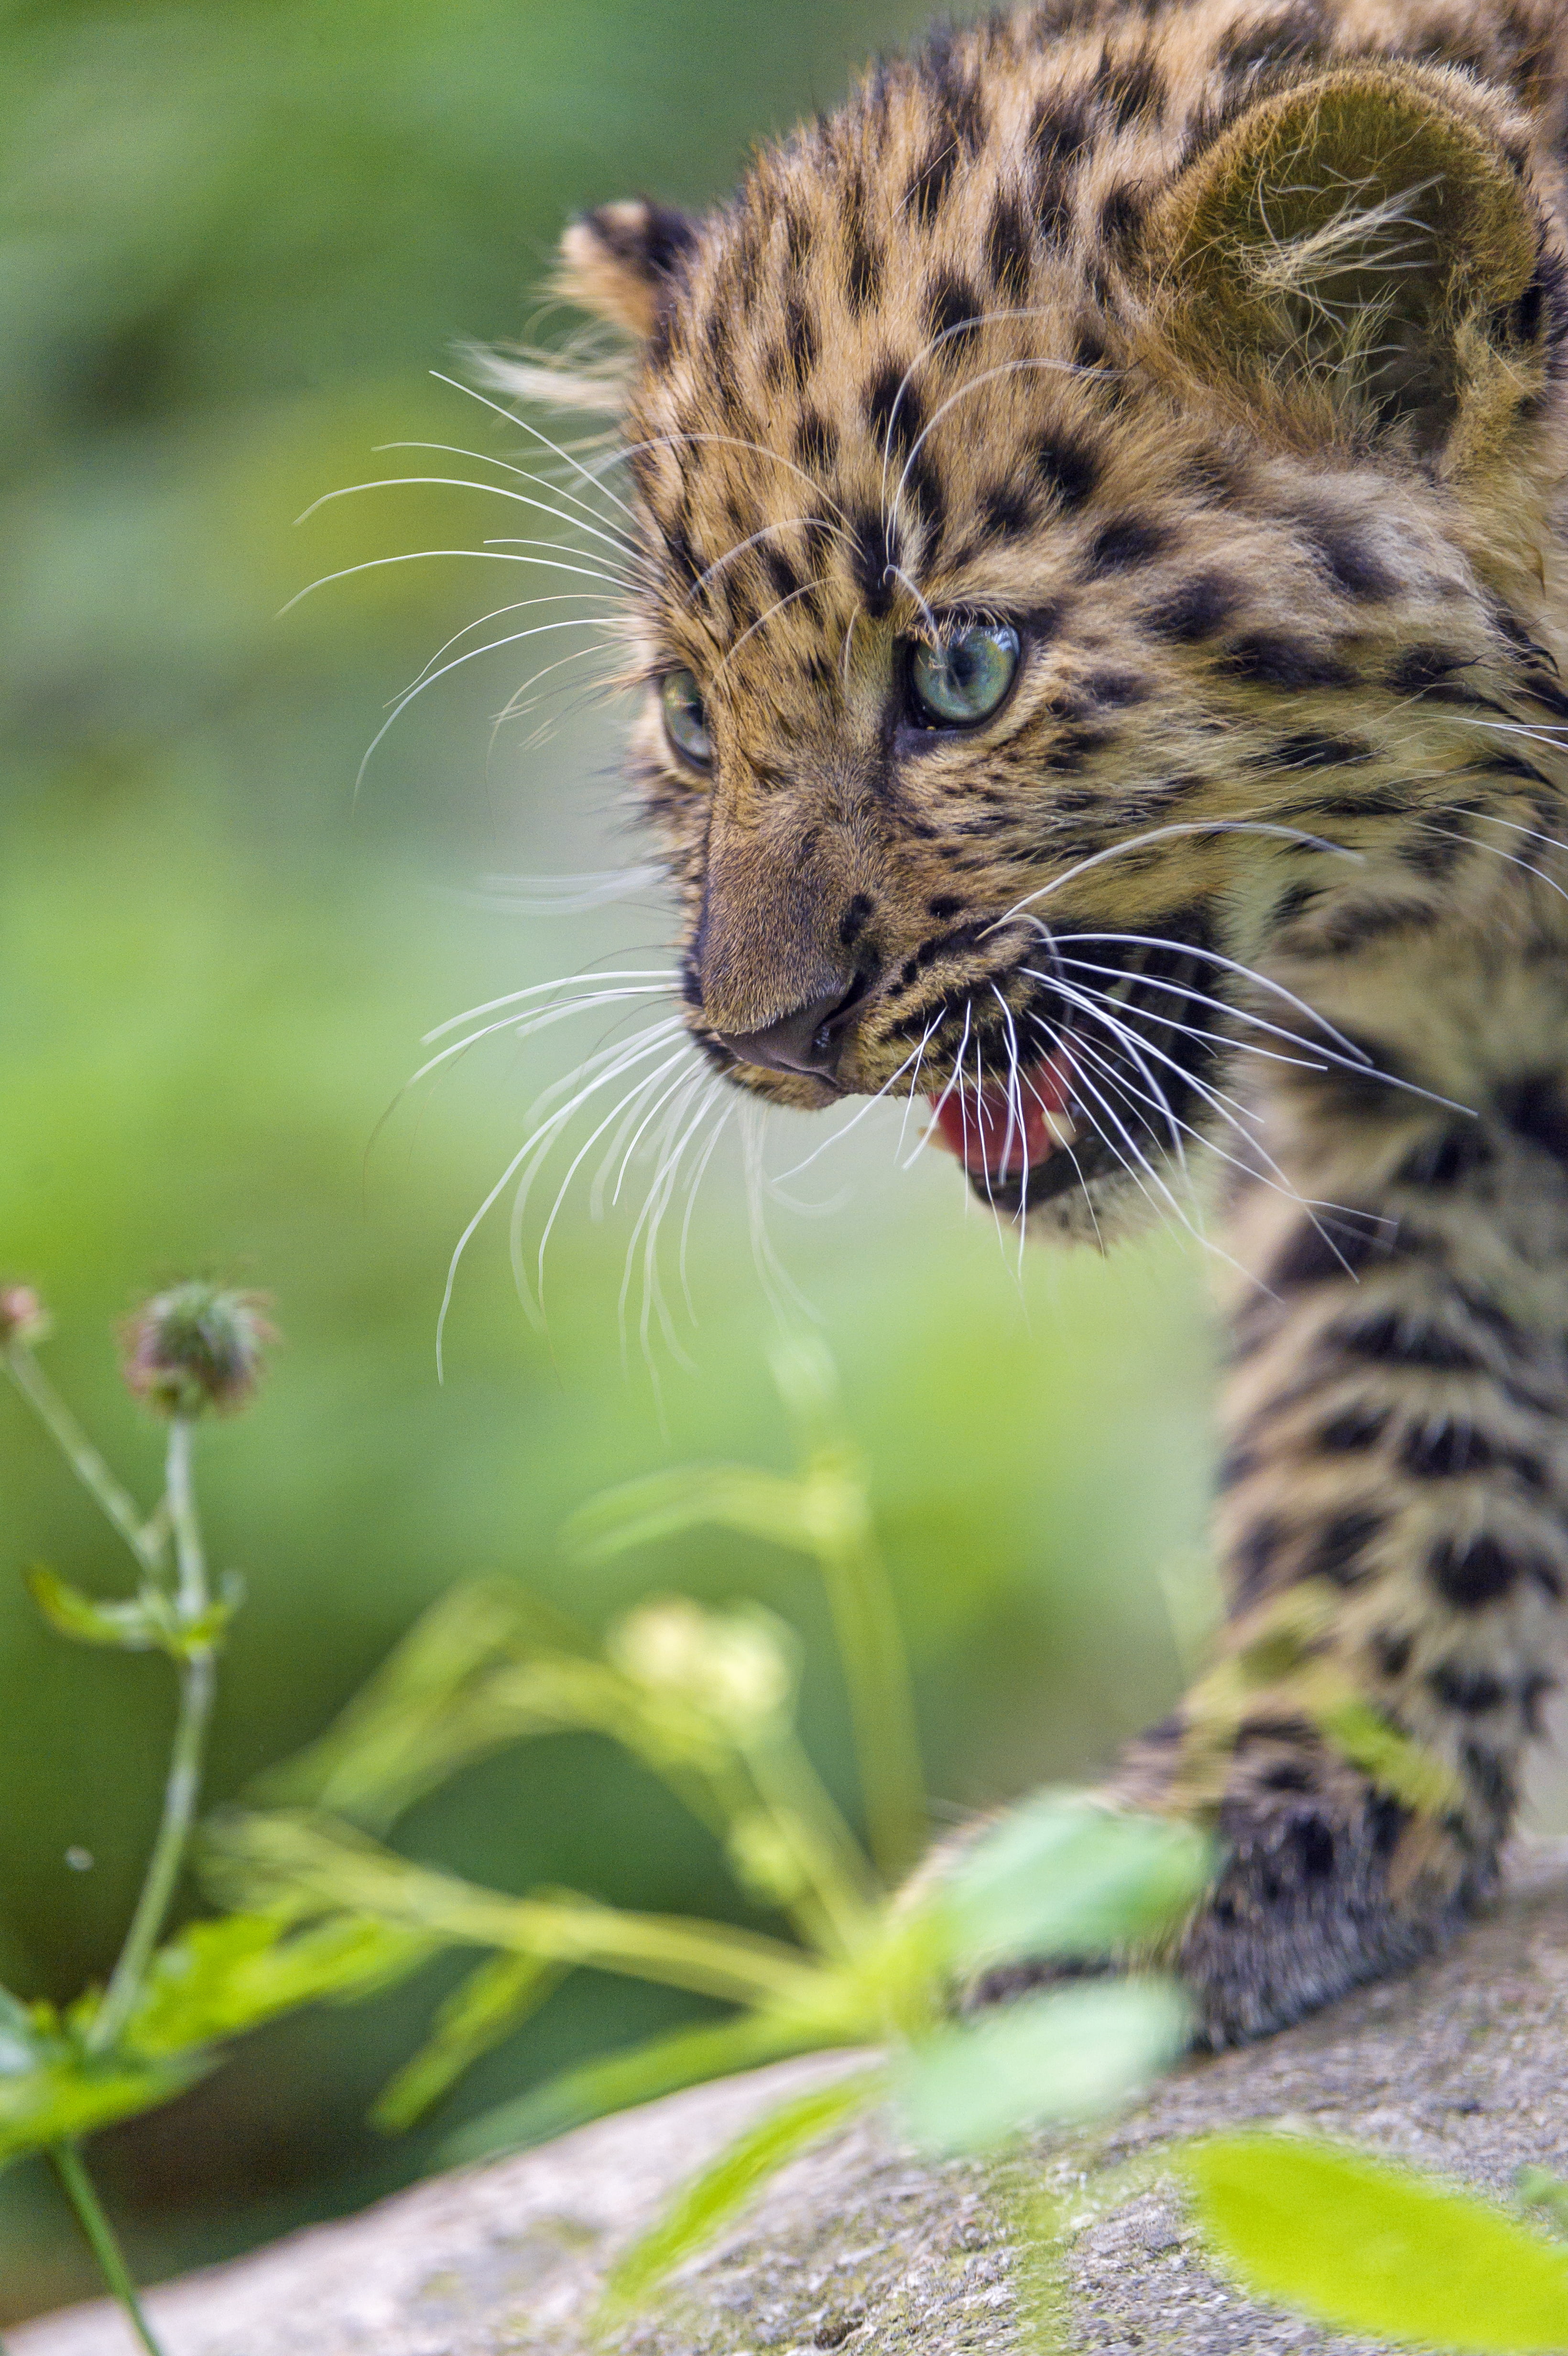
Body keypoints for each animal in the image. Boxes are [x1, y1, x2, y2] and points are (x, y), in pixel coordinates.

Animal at [490, 0, 1568, 2047]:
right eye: (687, 718)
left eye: (964, 674)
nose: (760, 1039)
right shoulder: (1423, 1072)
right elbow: (1377, 1407)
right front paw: (1237, 1822)